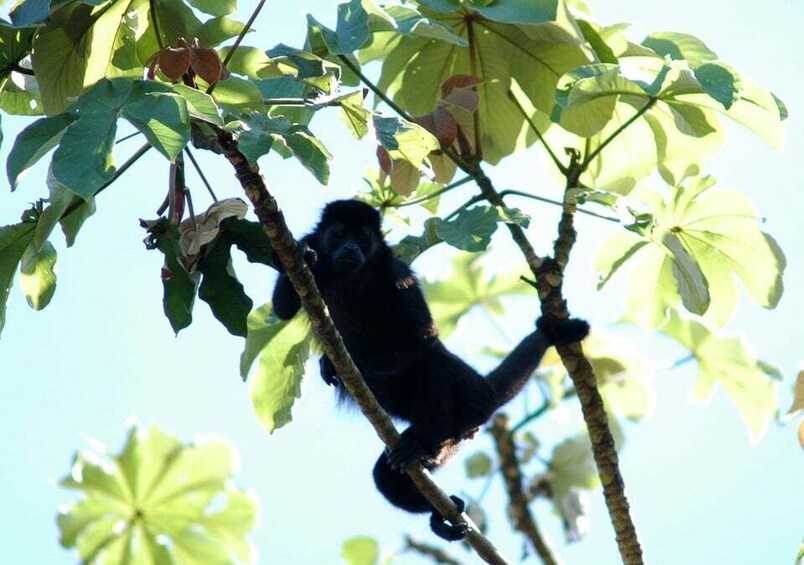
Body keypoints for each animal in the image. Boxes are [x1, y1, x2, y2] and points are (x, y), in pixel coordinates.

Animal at [274, 200, 588, 540]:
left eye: (363, 236)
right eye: (341, 233)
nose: (351, 247)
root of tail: (483, 391)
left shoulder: (398, 274)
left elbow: (423, 339)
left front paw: (342, 364)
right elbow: (282, 308)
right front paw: (305, 255)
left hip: (464, 413)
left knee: (433, 366)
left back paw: (423, 444)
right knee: (387, 480)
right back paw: (440, 510)